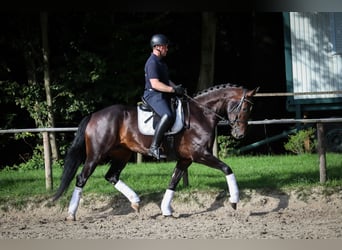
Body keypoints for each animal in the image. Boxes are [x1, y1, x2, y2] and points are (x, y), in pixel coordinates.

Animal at [52, 83, 258, 220]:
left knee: (111, 176)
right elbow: (227, 169)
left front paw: (166, 210)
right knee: (82, 178)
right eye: (245, 108)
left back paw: (136, 201)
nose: (240, 134)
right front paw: (234, 200)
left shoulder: (185, 159)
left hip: (122, 154)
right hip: (96, 155)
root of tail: (94, 115)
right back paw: (71, 214)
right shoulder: (199, 155)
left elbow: (173, 182)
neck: (201, 114)